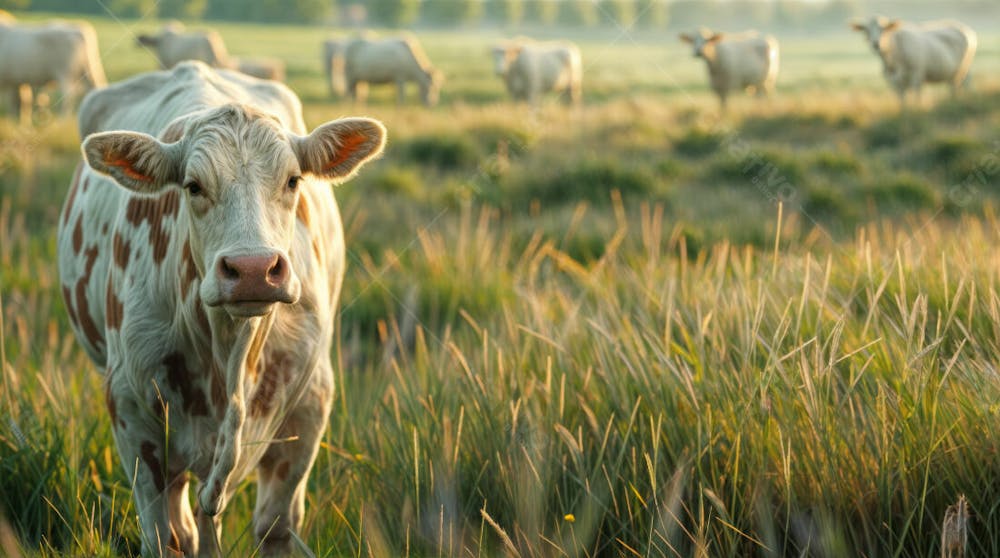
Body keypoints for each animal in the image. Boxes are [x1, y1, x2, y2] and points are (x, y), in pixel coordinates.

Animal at [57, 59, 386, 556]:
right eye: (193, 186)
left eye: (293, 181)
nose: (252, 269)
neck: (231, 352)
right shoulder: (134, 417)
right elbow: (166, 536)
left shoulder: (309, 410)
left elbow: (275, 526)